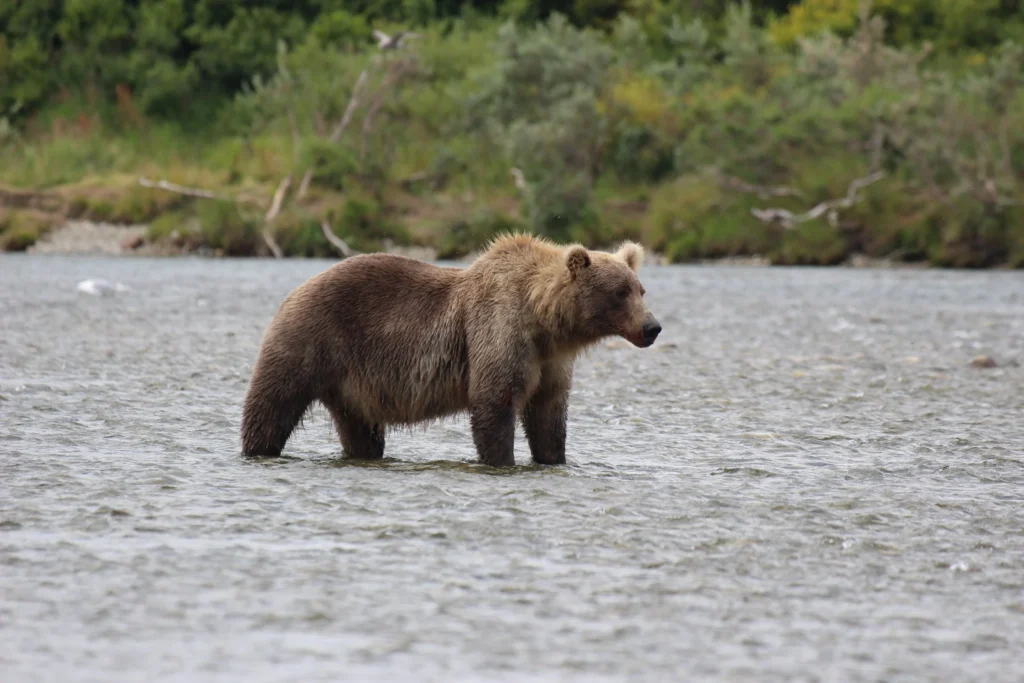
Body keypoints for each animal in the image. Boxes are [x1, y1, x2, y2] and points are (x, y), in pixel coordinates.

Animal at [240, 234, 661, 467]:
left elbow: (548, 416)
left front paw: (554, 457)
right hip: (309, 340)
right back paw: (258, 448)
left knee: (361, 430)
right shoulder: (498, 331)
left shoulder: (551, 363)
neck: (545, 322)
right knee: (272, 404)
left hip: (351, 386)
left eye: (640, 289)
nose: (652, 327)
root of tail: (296, 289)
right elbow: (494, 403)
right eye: (620, 292)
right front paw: (502, 459)